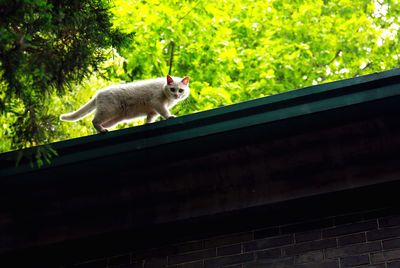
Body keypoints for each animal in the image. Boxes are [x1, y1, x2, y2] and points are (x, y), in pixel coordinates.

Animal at [60, 75, 190, 132]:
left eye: (180, 90)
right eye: (173, 89)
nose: (176, 95)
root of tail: (98, 93)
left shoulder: (152, 111)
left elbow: (149, 119)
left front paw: (147, 124)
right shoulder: (157, 103)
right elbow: (165, 112)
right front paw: (170, 116)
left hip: (113, 120)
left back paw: (102, 130)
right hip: (107, 111)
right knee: (94, 121)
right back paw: (102, 130)